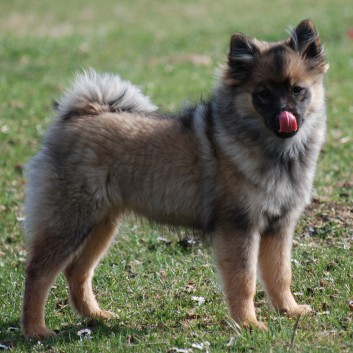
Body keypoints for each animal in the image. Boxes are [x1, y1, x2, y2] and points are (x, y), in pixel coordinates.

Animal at [22, 20, 328, 338]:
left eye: (298, 90)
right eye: (263, 94)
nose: (285, 115)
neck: (278, 152)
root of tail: (77, 116)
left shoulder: (279, 226)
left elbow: (280, 274)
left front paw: (289, 310)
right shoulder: (240, 226)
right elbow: (244, 280)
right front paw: (248, 323)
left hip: (101, 223)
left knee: (77, 271)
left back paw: (95, 315)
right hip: (69, 221)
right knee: (38, 273)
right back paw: (35, 330)